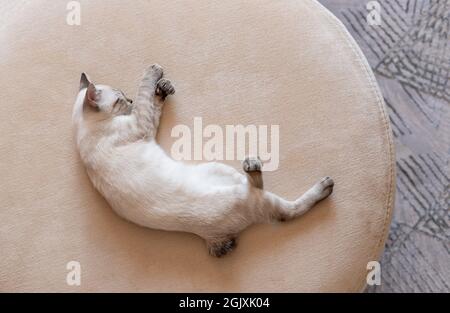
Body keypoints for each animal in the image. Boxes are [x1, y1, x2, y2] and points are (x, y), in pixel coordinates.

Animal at [73, 64, 334, 256]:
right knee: (283, 206)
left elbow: (154, 101)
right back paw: (317, 183)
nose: (128, 100)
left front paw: (163, 87)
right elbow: (145, 91)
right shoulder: (141, 123)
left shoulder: (147, 124)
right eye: (119, 99)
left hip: (217, 169)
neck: (87, 128)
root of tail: (212, 238)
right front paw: (153, 72)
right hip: (245, 189)